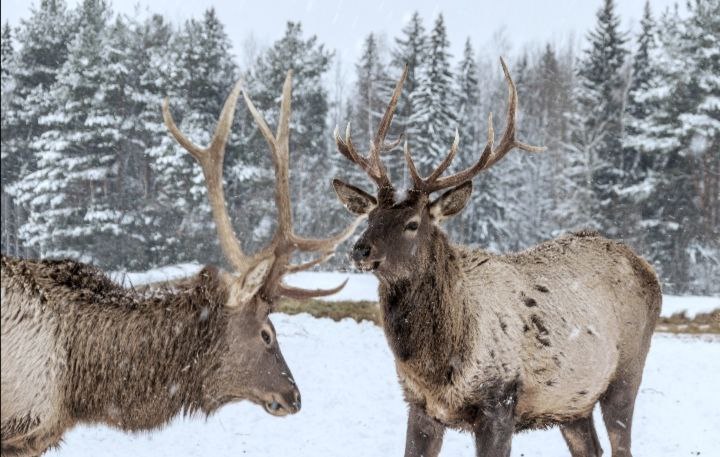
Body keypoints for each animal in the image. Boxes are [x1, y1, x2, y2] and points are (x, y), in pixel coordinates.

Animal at [331, 59, 662, 457]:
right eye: (370, 217)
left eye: (412, 223)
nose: (360, 249)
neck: (438, 364)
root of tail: (646, 267)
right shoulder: (420, 404)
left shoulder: (500, 401)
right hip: (572, 401)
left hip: (626, 373)